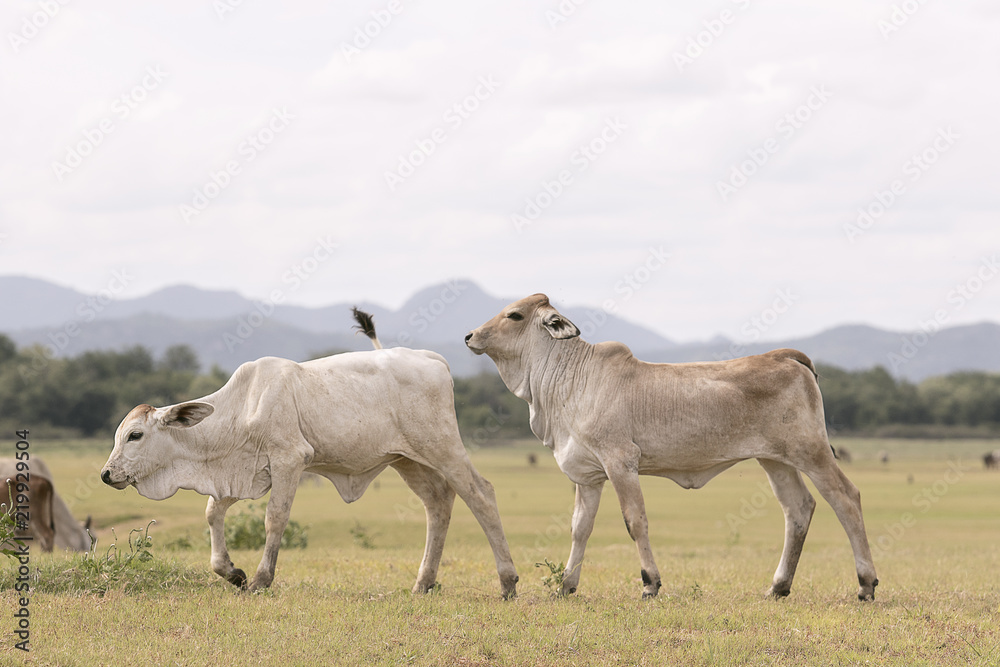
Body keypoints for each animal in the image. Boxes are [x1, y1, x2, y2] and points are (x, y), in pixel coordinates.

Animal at [102, 308, 518, 598]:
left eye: (135, 435)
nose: (106, 474)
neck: (240, 408)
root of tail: (434, 359)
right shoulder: (243, 472)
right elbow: (212, 513)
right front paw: (231, 572)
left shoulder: (289, 461)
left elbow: (274, 519)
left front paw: (260, 579)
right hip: (408, 460)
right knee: (439, 502)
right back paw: (424, 582)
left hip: (443, 447)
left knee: (481, 495)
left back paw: (507, 581)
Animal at [465, 294, 878, 601]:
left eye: (514, 315)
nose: (470, 336)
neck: (569, 380)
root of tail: (784, 355)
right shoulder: (589, 476)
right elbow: (580, 528)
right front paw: (567, 585)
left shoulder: (620, 463)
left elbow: (635, 521)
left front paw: (650, 582)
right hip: (775, 461)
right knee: (798, 509)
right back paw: (779, 586)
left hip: (812, 453)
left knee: (846, 498)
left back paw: (865, 584)